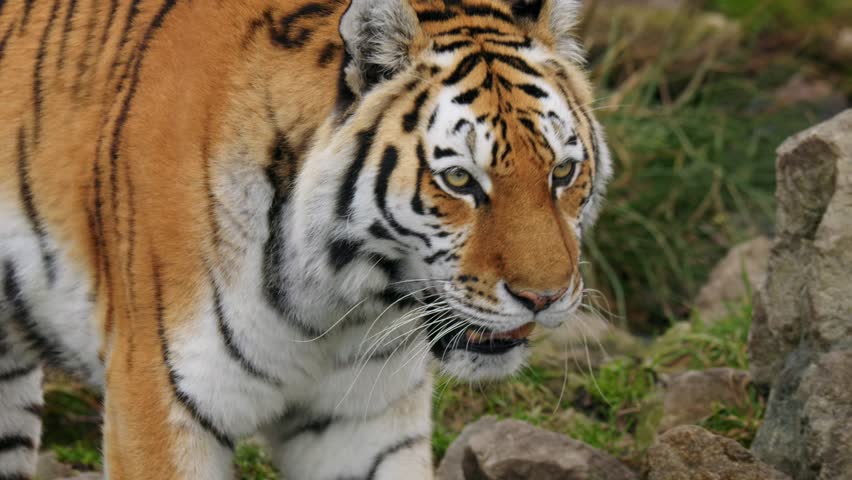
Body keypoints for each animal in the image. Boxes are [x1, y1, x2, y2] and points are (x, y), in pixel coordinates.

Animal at [0, 0, 612, 478]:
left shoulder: (362, 421)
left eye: (562, 172)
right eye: (459, 180)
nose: (543, 299)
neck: (338, 303)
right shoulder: (158, 404)